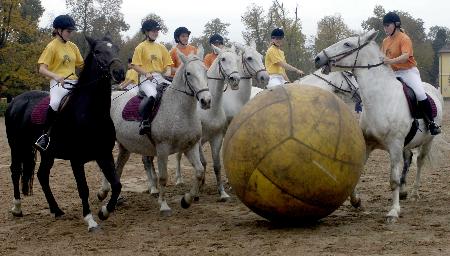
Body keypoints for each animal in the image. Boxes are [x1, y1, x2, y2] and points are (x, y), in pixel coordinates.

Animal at [5, 34, 126, 232]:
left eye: (116, 48)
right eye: (98, 51)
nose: (119, 72)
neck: (92, 114)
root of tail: (15, 101)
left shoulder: (104, 154)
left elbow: (116, 184)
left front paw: (104, 212)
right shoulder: (76, 160)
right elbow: (83, 189)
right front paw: (90, 220)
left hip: (47, 153)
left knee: (42, 176)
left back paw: (56, 210)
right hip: (17, 146)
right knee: (15, 171)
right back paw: (17, 208)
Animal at [97, 50, 213, 216]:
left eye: (205, 71)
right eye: (189, 73)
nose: (206, 101)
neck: (179, 110)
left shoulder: (190, 146)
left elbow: (199, 171)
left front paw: (186, 200)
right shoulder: (162, 149)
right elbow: (163, 177)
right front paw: (164, 205)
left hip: (125, 146)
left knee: (118, 167)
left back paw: (109, 195)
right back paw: (103, 193)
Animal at [174, 46, 241, 202]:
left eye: (237, 59)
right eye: (223, 59)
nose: (235, 79)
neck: (211, 110)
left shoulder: (216, 137)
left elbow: (216, 165)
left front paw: (222, 193)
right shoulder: (197, 140)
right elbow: (202, 162)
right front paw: (198, 191)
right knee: (177, 156)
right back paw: (176, 180)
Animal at [314, 29, 444, 222]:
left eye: (347, 44)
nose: (318, 58)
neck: (381, 98)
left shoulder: (395, 145)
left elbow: (393, 179)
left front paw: (393, 211)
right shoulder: (368, 143)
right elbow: (359, 171)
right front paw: (356, 201)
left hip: (427, 141)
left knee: (419, 162)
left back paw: (414, 193)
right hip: (407, 144)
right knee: (408, 160)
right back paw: (404, 192)